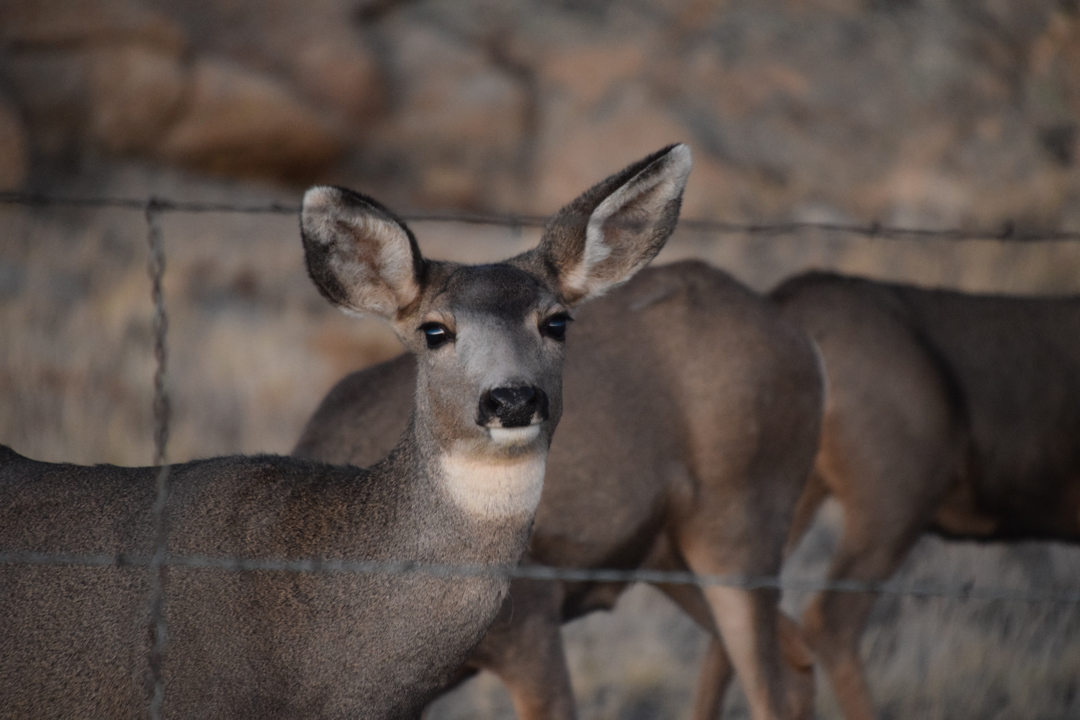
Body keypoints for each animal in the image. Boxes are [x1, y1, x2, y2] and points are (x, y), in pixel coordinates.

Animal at [291, 260, 820, 720]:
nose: (513, 399)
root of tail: (798, 341)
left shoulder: (531, 619)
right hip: (672, 557)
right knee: (796, 654)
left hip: (739, 524)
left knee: (775, 686)